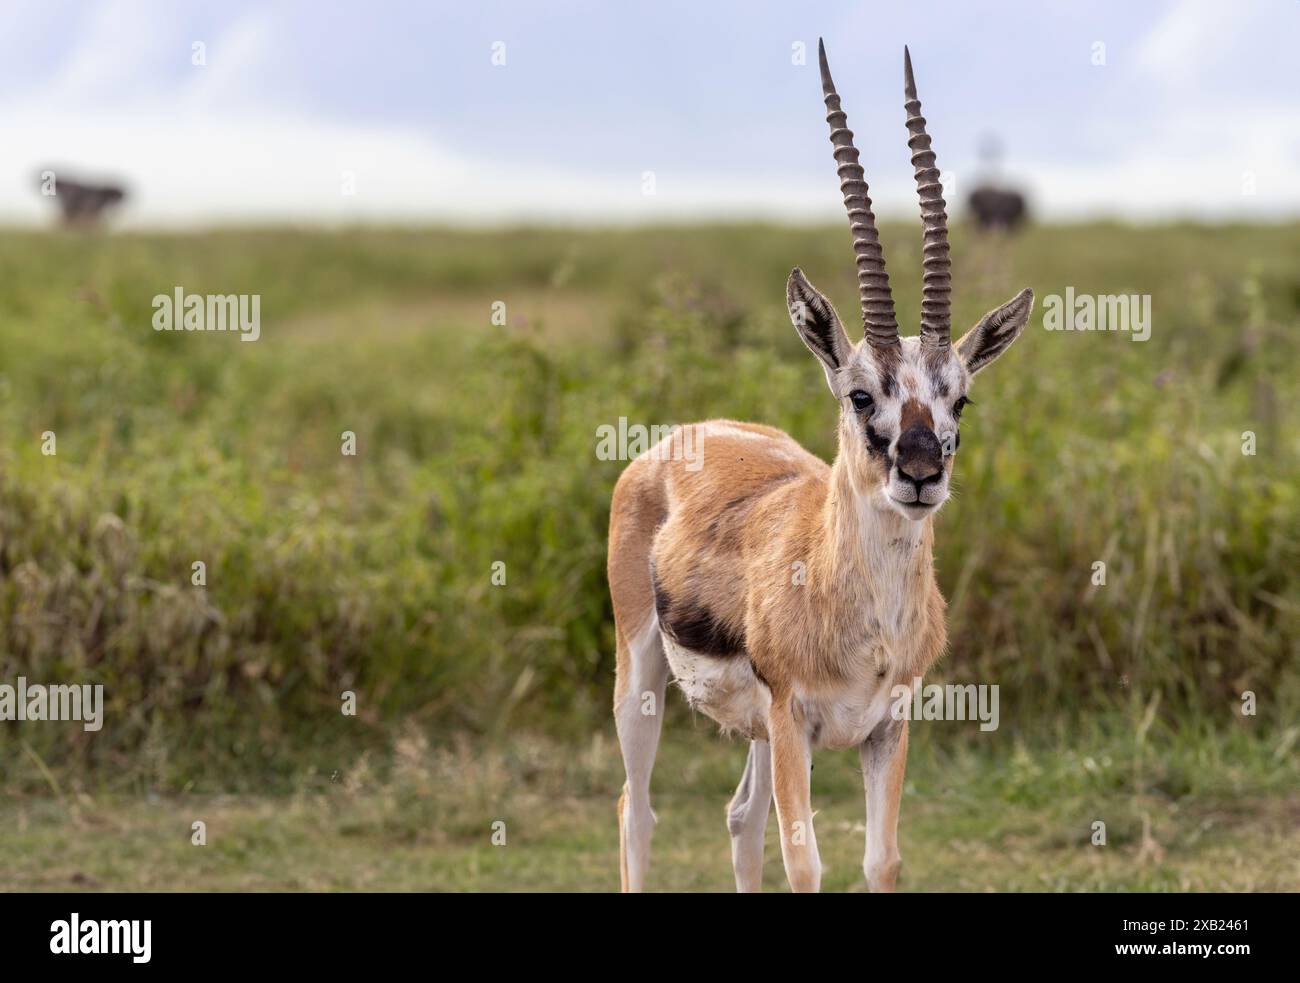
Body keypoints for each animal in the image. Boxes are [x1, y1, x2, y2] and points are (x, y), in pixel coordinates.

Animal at [608, 41, 1034, 893]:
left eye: (960, 398)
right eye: (861, 393)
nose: (919, 473)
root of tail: (682, 439)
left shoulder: (887, 726)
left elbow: (880, 859)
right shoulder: (793, 718)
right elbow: (806, 863)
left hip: (753, 732)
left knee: (740, 820)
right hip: (641, 679)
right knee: (637, 811)